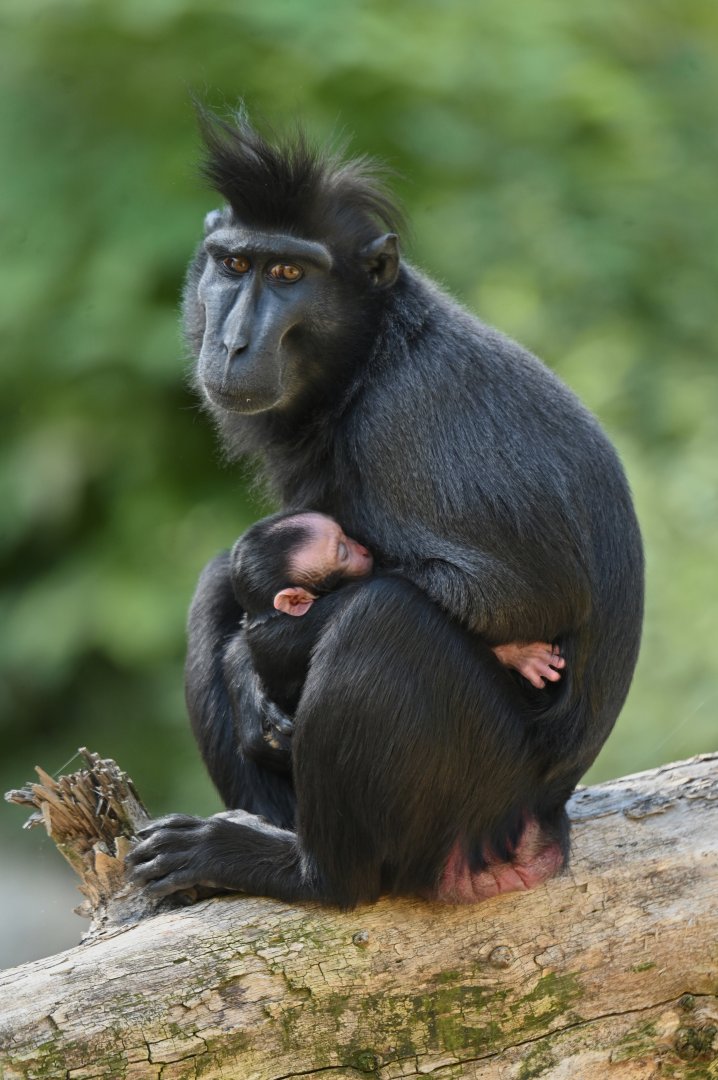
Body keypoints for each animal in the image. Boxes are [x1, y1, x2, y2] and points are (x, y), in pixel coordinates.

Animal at [128, 111, 643, 908]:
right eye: (234, 264)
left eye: (289, 274)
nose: (233, 342)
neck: (369, 354)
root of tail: (546, 817)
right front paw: (247, 679)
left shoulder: (409, 418)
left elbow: (527, 595)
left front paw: (251, 657)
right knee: (218, 581)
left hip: (480, 797)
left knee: (383, 619)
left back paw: (303, 871)